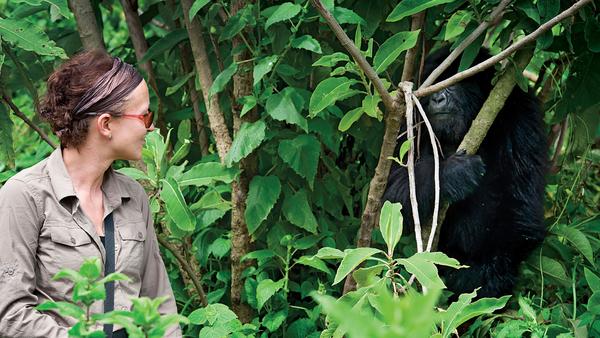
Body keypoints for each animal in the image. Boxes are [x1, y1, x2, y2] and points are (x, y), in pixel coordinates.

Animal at [384, 46, 548, 296]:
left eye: (455, 81)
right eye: (436, 83)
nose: (437, 98)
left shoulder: (524, 119)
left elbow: (522, 205)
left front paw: (485, 277)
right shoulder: (408, 120)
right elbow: (396, 194)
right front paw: (453, 173)